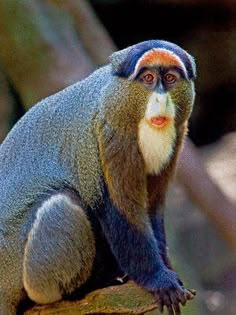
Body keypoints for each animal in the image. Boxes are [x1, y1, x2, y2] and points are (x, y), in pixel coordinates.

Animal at [0, 40, 195, 315]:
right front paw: (160, 280)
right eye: (148, 78)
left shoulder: (178, 133)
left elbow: (152, 208)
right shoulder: (112, 134)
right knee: (61, 203)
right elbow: (124, 210)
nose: (161, 98)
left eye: (169, 78)